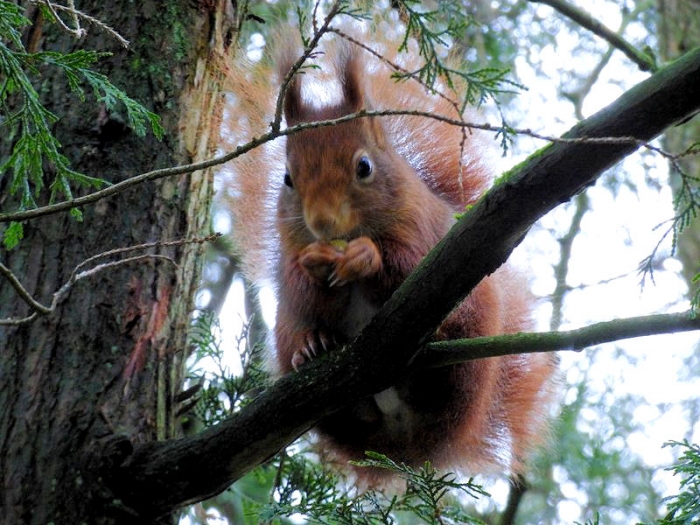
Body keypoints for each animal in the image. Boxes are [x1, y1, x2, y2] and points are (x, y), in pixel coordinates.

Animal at [225, 28, 558, 484]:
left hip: (471, 336)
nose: (322, 223)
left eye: (364, 167)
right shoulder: (291, 250)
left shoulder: (422, 231)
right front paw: (314, 267)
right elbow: (301, 288)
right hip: (291, 339)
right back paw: (310, 347)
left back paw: (438, 340)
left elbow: (406, 267)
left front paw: (365, 257)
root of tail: (411, 447)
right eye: (288, 179)